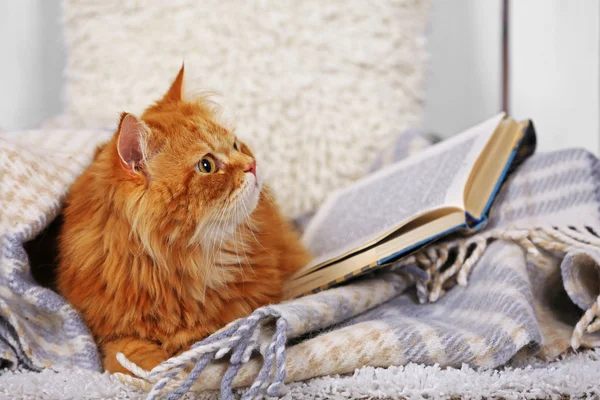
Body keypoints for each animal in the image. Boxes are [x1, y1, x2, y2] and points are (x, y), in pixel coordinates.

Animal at [56, 64, 312, 374]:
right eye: (206, 165)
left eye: (235, 145)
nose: (252, 165)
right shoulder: (110, 334)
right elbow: (131, 354)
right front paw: (161, 369)